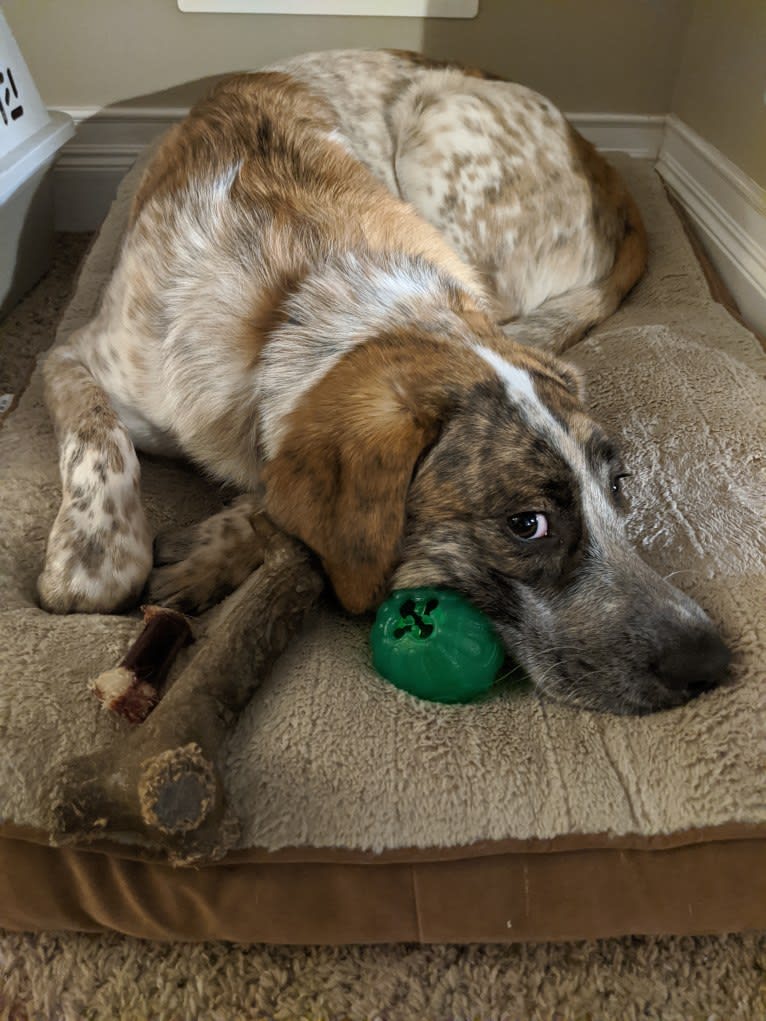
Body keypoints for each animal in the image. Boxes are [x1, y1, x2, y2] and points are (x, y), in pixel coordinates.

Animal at [39, 49, 735, 718]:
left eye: (618, 485)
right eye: (527, 524)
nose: (711, 661)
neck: (300, 303)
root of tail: (606, 168)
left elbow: (275, 496)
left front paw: (216, 547)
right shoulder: (68, 356)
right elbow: (100, 441)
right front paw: (92, 558)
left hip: (438, 131)